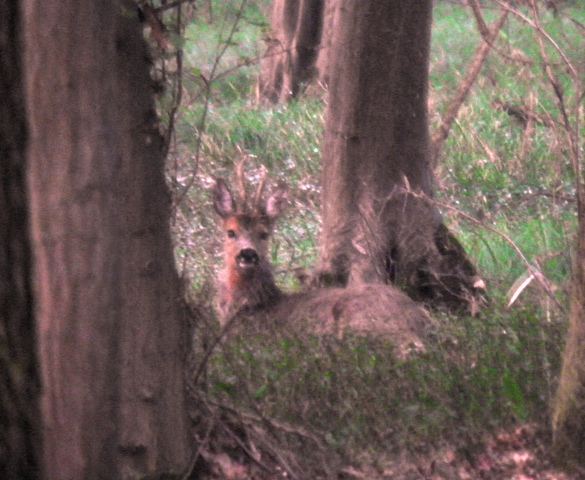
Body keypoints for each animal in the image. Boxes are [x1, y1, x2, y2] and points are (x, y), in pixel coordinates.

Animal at [210, 165, 434, 352]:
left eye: (264, 234)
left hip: (367, 321)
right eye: (231, 232)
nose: (248, 253)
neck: (253, 306)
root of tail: (418, 316)